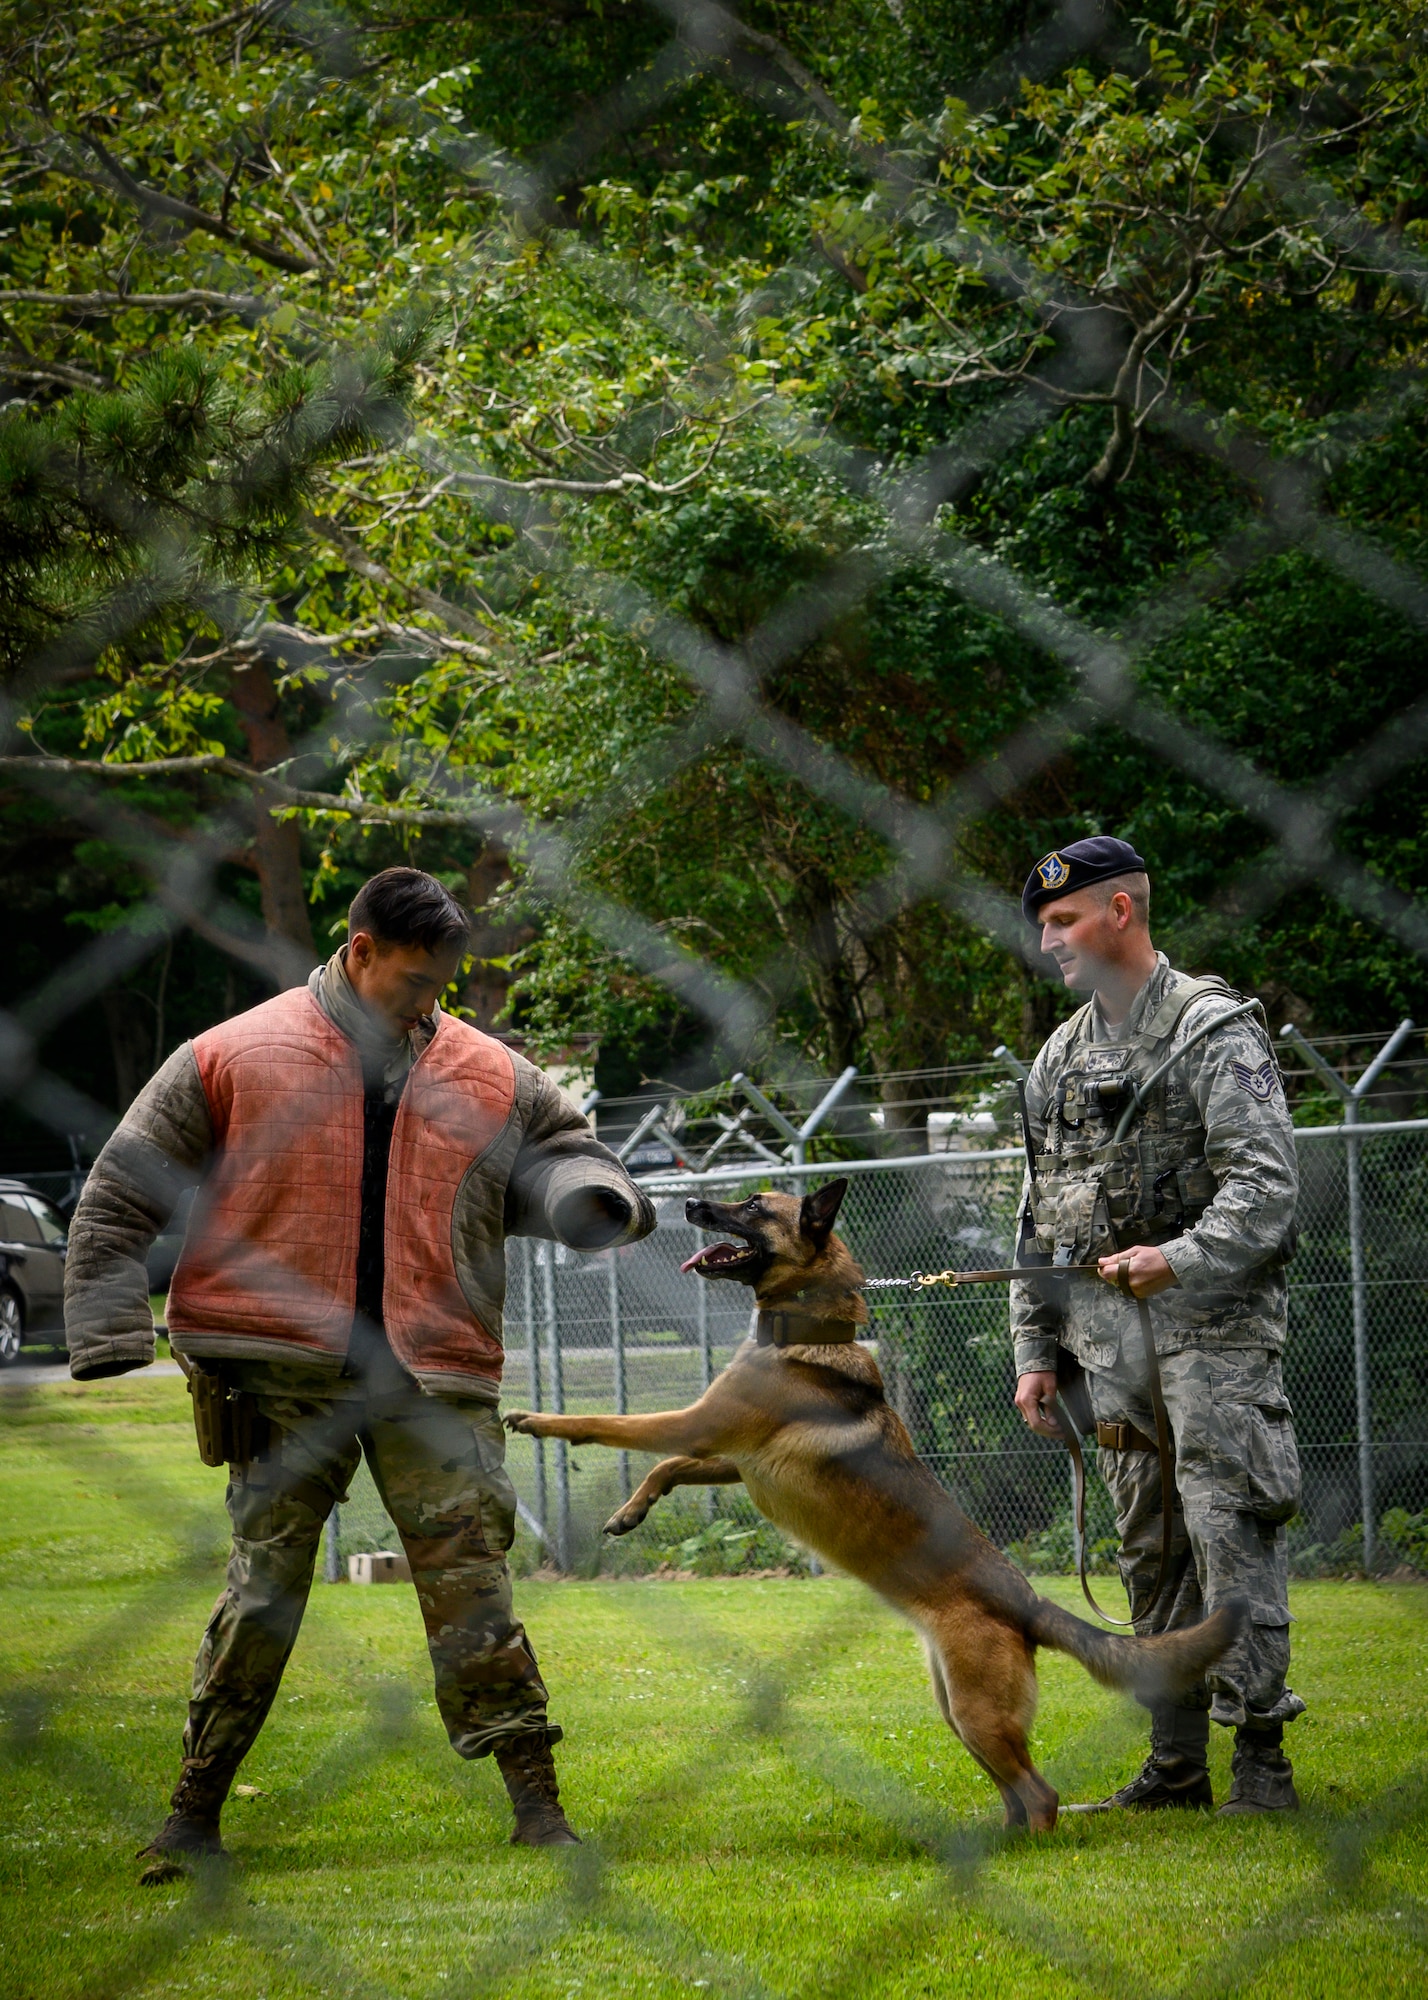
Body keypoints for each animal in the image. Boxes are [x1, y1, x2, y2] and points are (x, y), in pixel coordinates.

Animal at [506, 1176, 1240, 1832]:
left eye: (753, 1206)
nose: (686, 1202)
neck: (806, 1326)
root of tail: (1028, 1602)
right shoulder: (733, 1455)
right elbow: (667, 1467)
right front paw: (629, 1512)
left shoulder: (698, 1425)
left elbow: (612, 1425)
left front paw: (537, 1420)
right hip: (957, 1708)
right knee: (1018, 1792)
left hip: (976, 1711)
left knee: (1042, 1796)